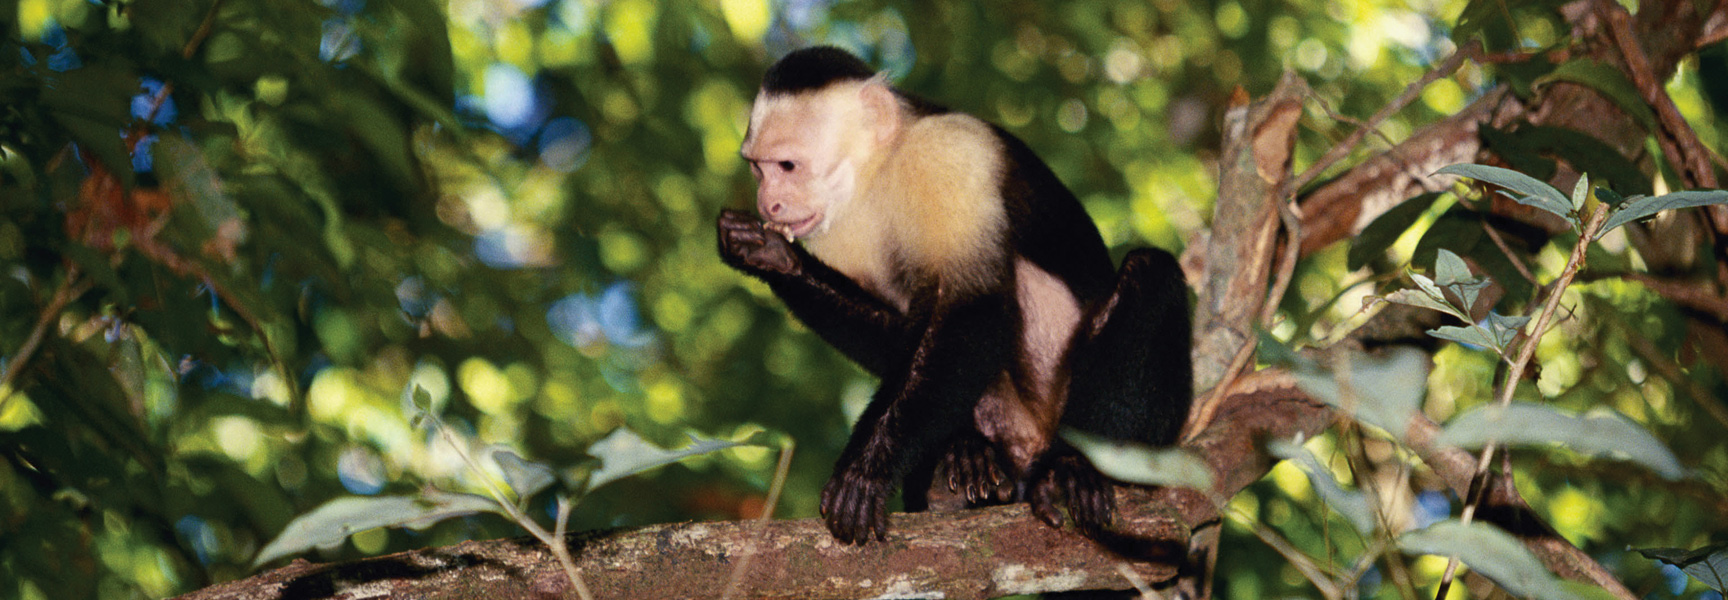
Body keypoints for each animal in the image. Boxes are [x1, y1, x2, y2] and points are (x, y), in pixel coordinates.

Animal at [717, 46, 1192, 544]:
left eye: (787, 166)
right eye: (757, 168)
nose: (769, 202)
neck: (882, 169)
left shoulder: (950, 154)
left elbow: (974, 310)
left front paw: (866, 469)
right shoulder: (836, 230)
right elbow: (903, 337)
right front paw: (769, 255)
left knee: (1149, 272)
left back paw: (1076, 467)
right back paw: (964, 462)